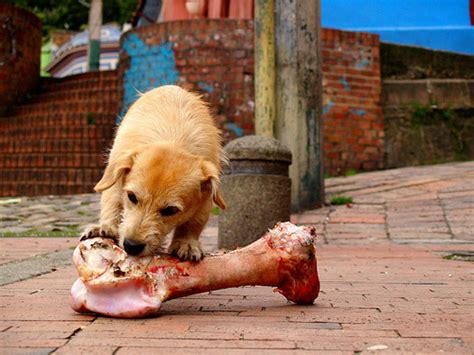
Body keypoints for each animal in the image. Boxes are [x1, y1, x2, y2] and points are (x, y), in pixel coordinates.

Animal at [81, 86, 226, 262]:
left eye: (170, 211)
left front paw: (186, 243)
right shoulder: (115, 180)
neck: (173, 140)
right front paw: (107, 227)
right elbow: (112, 203)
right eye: (132, 197)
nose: (131, 246)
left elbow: (193, 223)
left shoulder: (205, 200)